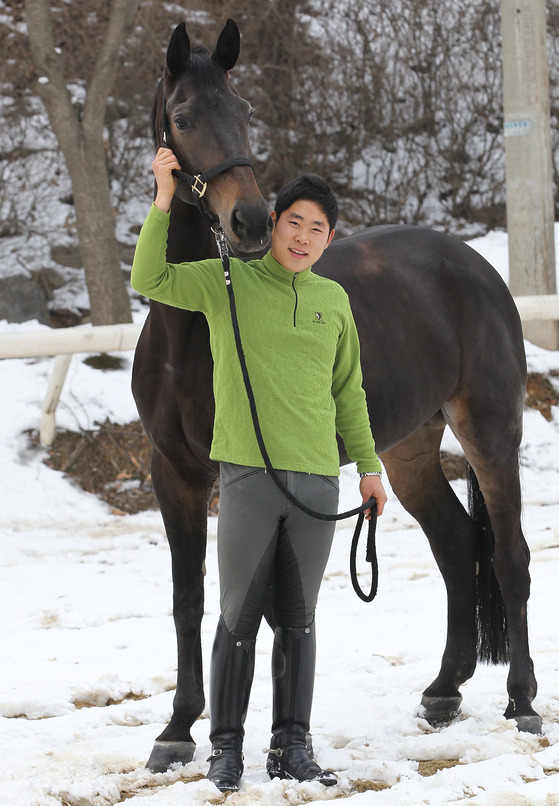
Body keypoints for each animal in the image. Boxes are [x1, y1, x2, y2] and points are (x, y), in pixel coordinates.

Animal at [132, 20, 544, 776]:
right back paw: (443, 691)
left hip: (491, 433)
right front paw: (176, 730)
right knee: (454, 547)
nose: (251, 220)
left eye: (243, 111)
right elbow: (187, 597)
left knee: (508, 556)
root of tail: (474, 265)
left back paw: (522, 701)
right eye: (185, 116)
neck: (191, 328)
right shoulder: (172, 472)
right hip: (406, 451)